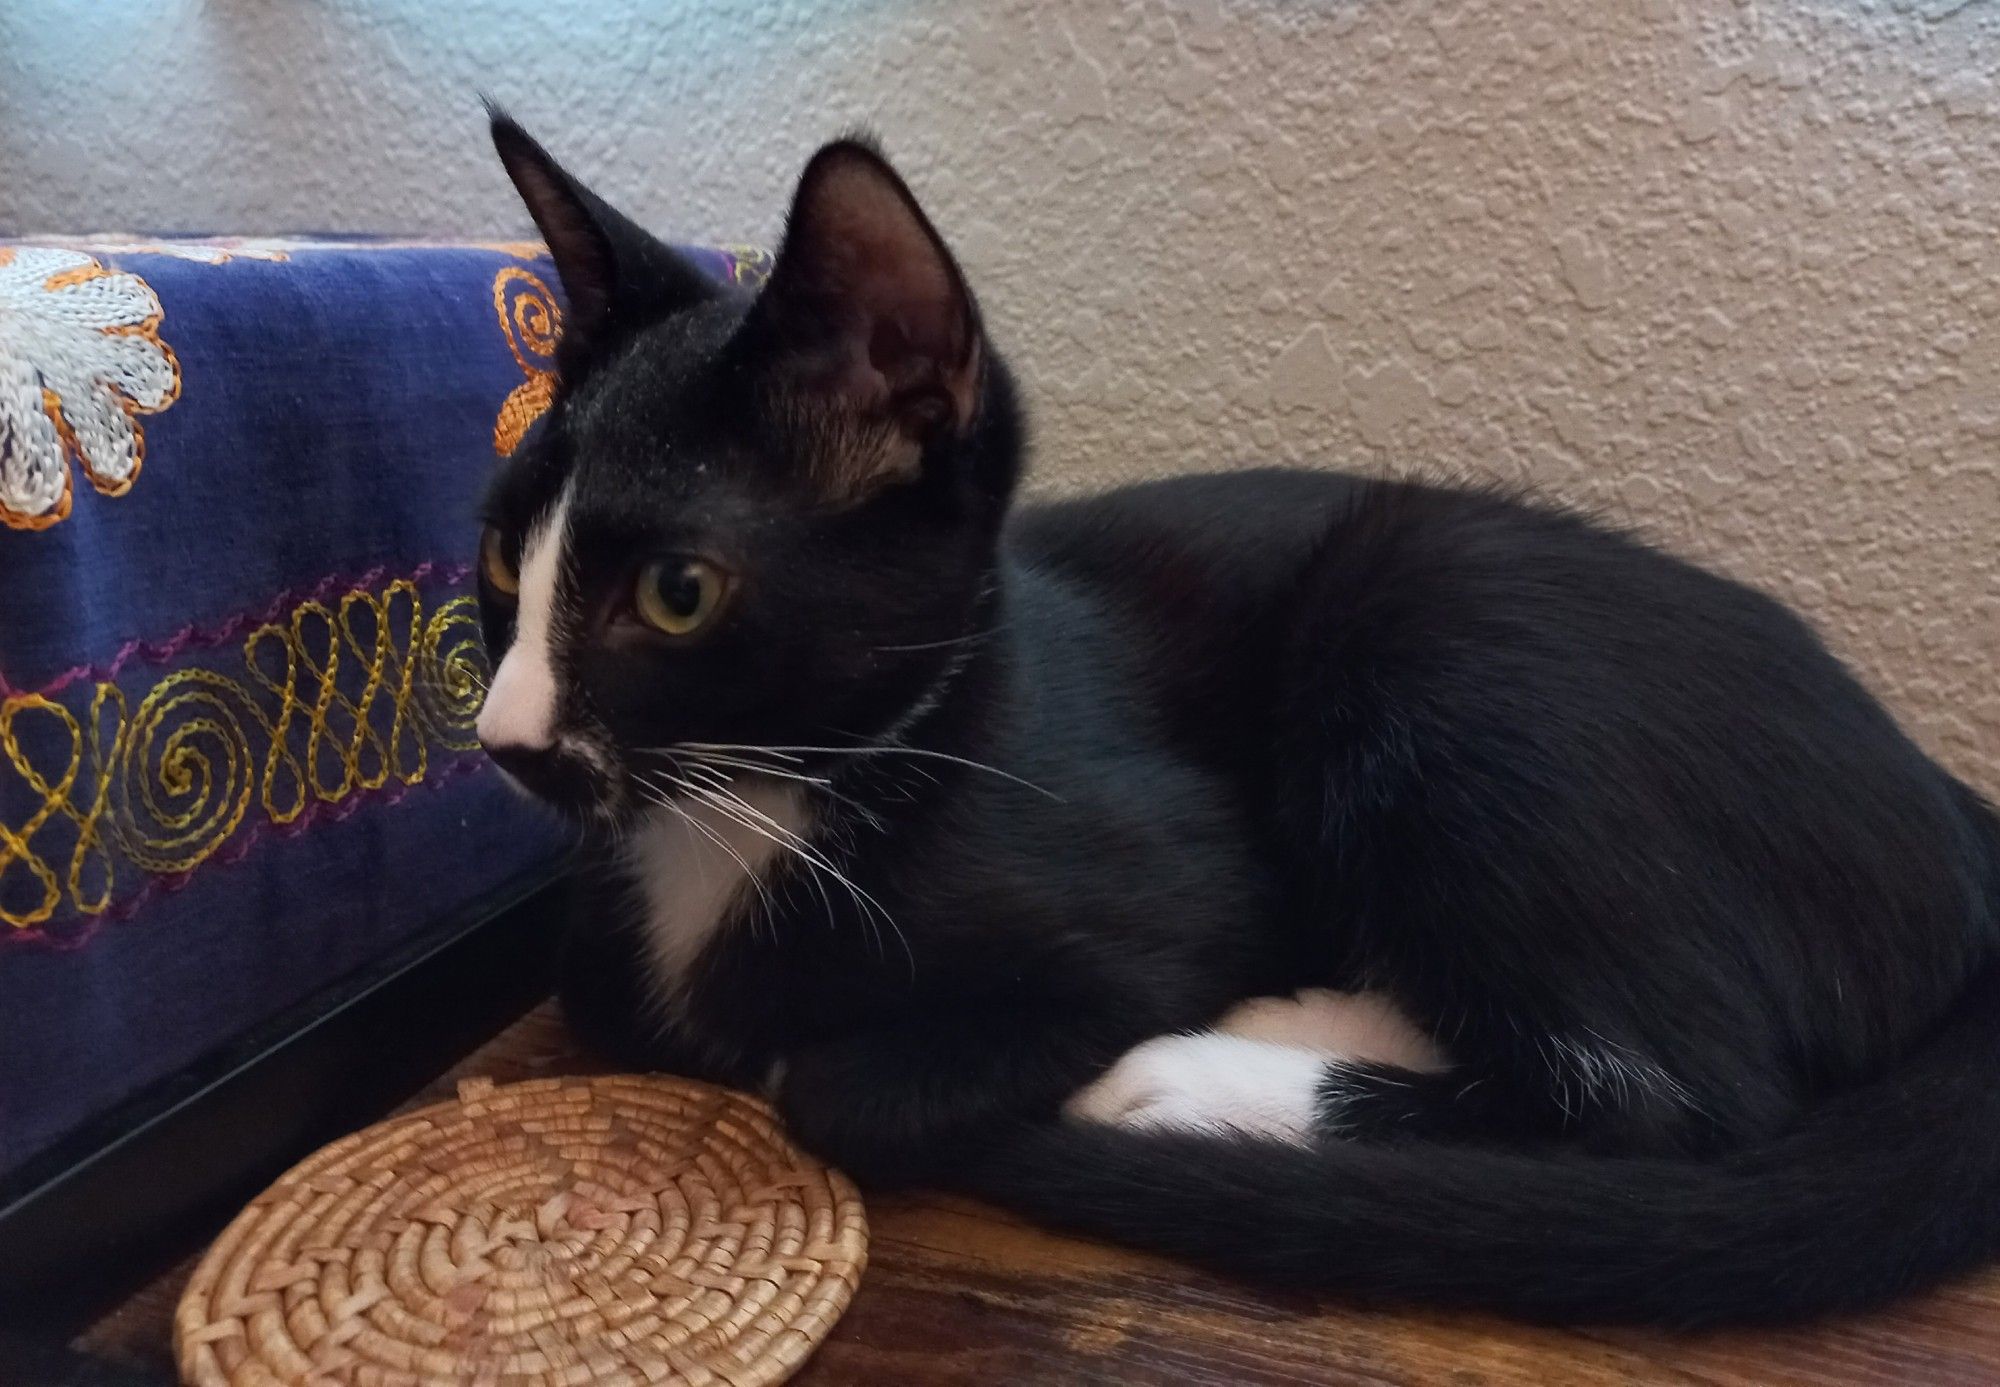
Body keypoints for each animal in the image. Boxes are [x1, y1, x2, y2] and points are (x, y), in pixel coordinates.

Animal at [472, 113, 2000, 1335]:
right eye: (497, 554)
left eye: (677, 592)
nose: (506, 742)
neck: (762, 803)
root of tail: (1957, 826)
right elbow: (602, 988)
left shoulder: (1171, 874)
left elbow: (837, 1081)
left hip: (1448, 618)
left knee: (1674, 1103)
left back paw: (1200, 1070)